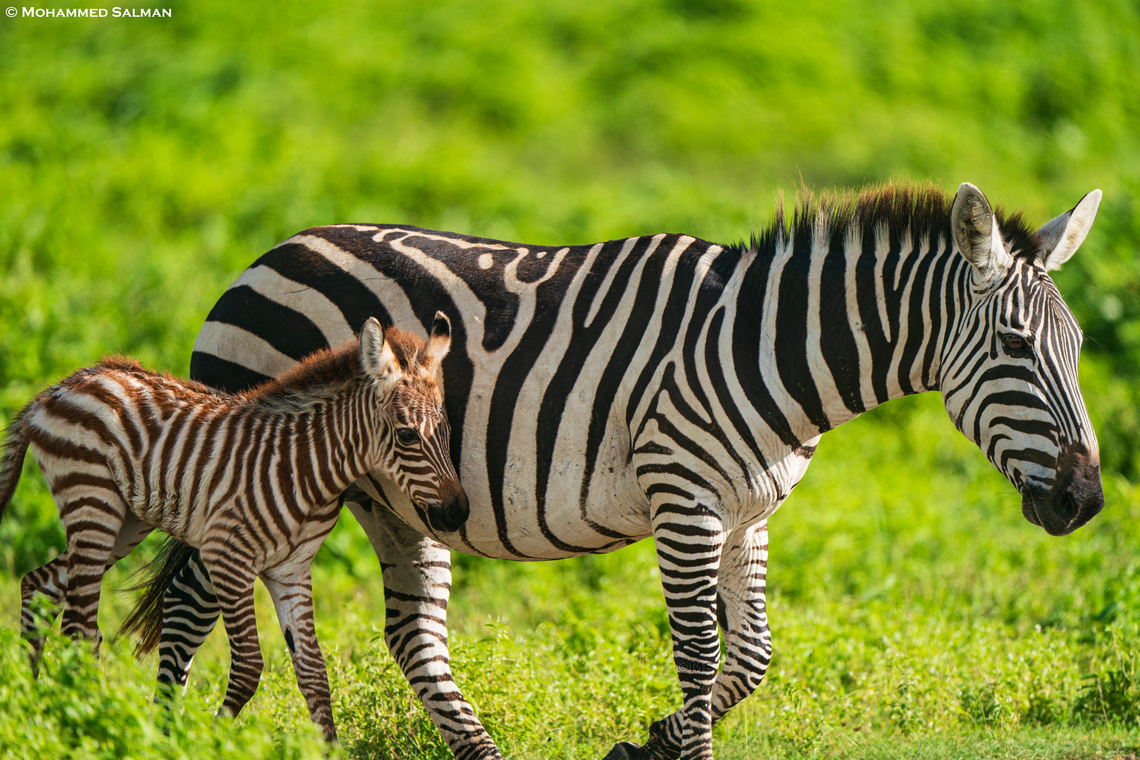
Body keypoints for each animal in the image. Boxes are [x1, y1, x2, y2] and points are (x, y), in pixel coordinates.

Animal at [0, 315, 466, 743]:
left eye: (445, 431)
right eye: (406, 435)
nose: (458, 513)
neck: (309, 469)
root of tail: (63, 384)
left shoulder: (291, 571)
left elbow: (314, 673)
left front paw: (328, 749)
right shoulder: (227, 557)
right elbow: (248, 667)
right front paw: (209, 740)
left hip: (124, 523)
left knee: (38, 585)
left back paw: (37, 705)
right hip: (92, 502)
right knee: (80, 629)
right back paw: (84, 716)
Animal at [124, 182, 1104, 760]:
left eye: (1082, 345)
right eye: (1017, 348)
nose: (1087, 501)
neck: (770, 354)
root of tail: (264, 255)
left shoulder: (751, 513)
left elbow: (753, 654)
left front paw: (650, 741)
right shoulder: (684, 498)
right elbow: (702, 652)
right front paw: (678, 742)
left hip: (396, 496)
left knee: (413, 633)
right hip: (249, 472)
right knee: (190, 603)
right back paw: (165, 736)